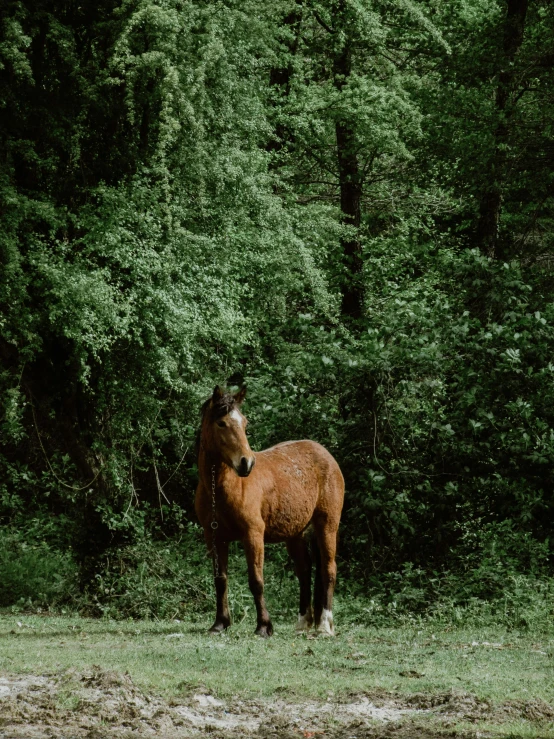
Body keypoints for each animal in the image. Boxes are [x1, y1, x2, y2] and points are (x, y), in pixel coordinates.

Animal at [193, 388, 340, 636]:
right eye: (222, 423)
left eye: (244, 422)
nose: (246, 463)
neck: (222, 489)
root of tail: (325, 454)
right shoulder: (214, 537)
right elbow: (220, 580)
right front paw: (220, 623)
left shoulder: (253, 535)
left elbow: (256, 581)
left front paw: (264, 626)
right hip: (295, 534)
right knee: (304, 571)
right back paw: (303, 622)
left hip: (327, 526)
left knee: (328, 569)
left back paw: (324, 626)